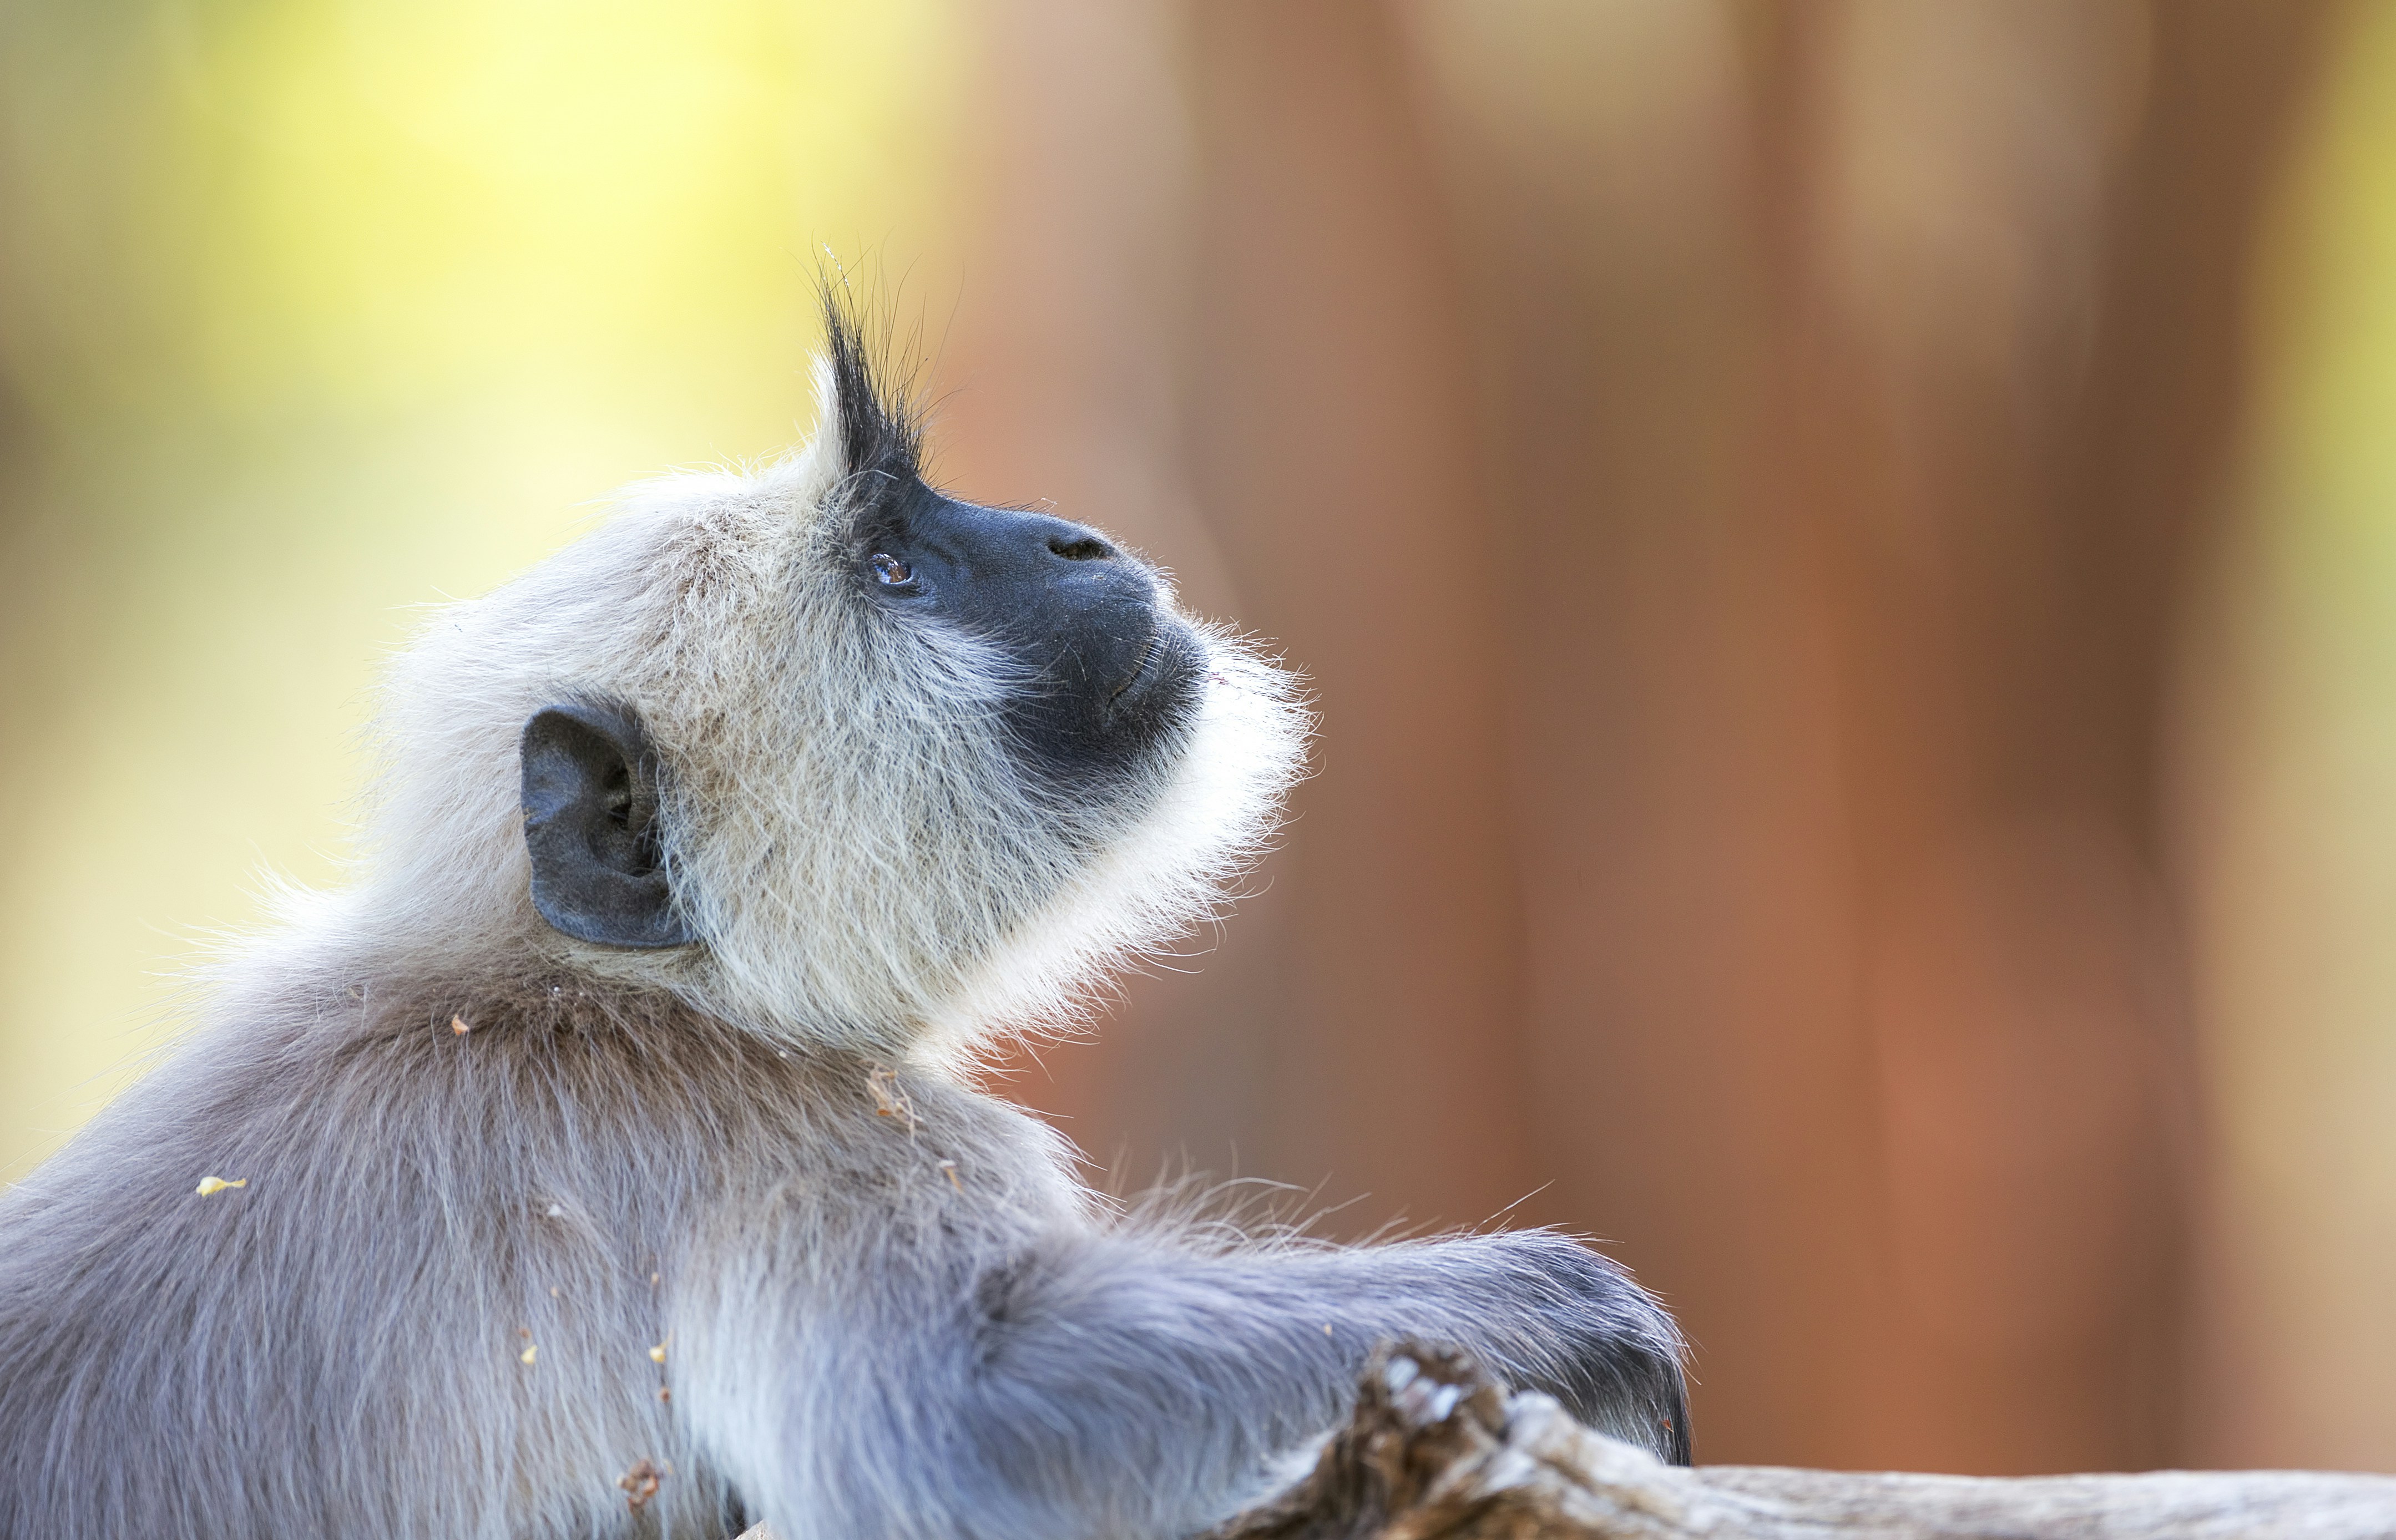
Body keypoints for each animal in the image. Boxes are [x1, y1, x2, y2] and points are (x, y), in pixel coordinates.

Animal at [0, 290, 1688, 1539]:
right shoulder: (771, 1140)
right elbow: (951, 1422)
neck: (590, 989)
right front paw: (1568, 1306)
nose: (1071, 538)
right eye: (894, 568)